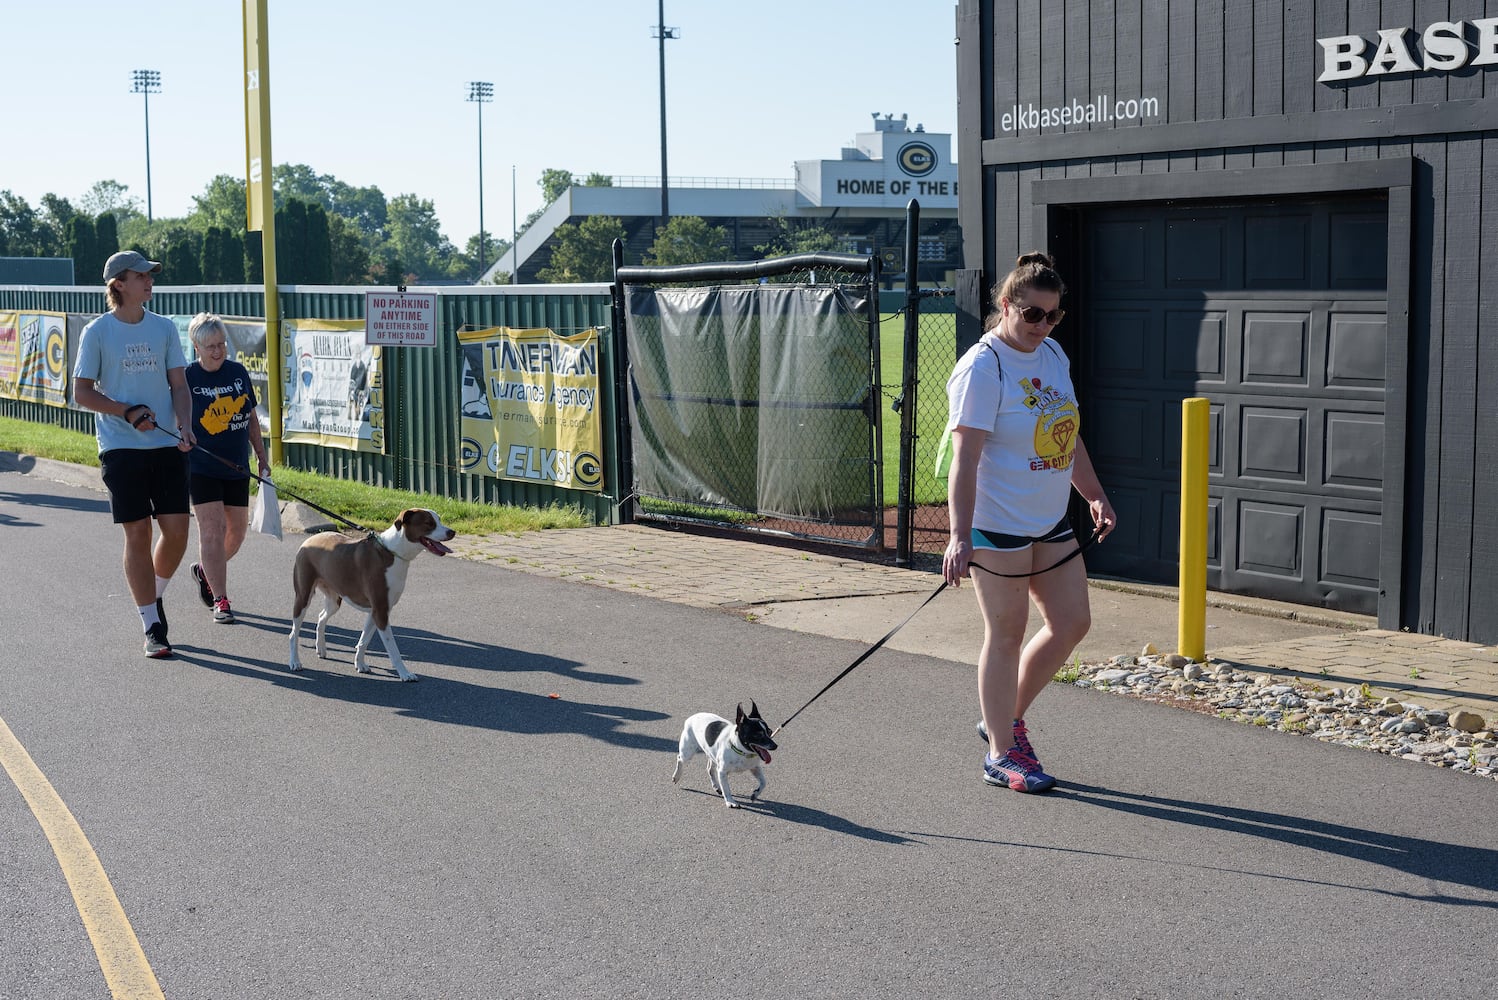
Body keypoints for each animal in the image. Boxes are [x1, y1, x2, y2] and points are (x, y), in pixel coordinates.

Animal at [286, 508, 455, 679]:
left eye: (439, 520)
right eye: (429, 523)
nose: (452, 532)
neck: (393, 553)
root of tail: (309, 540)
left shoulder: (376, 611)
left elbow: (363, 641)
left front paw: (360, 664)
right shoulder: (380, 611)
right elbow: (393, 650)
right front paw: (405, 673)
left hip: (334, 600)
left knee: (321, 618)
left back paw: (321, 648)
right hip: (303, 597)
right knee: (294, 633)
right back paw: (295, 662)